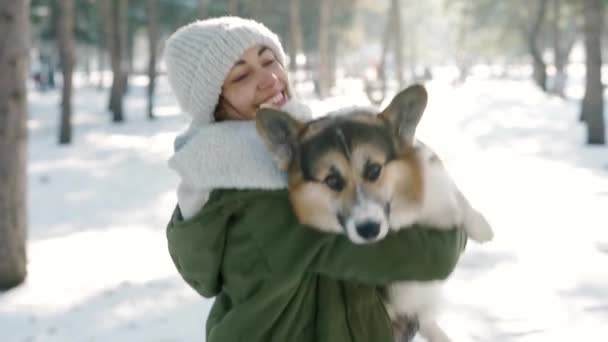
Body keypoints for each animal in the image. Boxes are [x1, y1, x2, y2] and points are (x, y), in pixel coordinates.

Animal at [254, 83, 492, 342]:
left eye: (374, 170)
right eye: (332, 181)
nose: (369, 229)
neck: (400, 207)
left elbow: (455, 197)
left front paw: (481, 227)